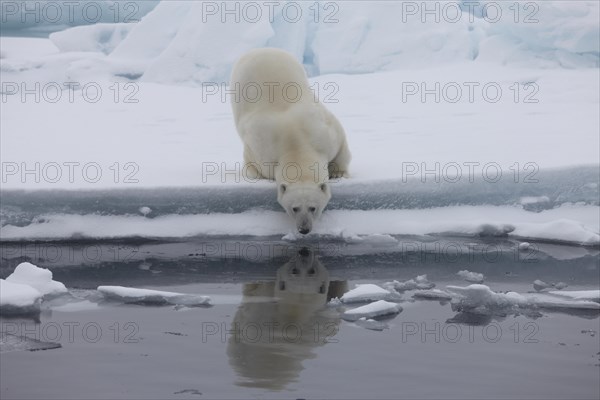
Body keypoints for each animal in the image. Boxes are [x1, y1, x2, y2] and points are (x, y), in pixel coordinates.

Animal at [230, 47, 352, 234]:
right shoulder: (261, 150)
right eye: (294, 208)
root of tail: (260, 49)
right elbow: (254, 165)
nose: (304, 229)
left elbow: (340, 146)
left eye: (313, 207)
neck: (296, 142)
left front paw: (338, 172)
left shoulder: (323, 130)